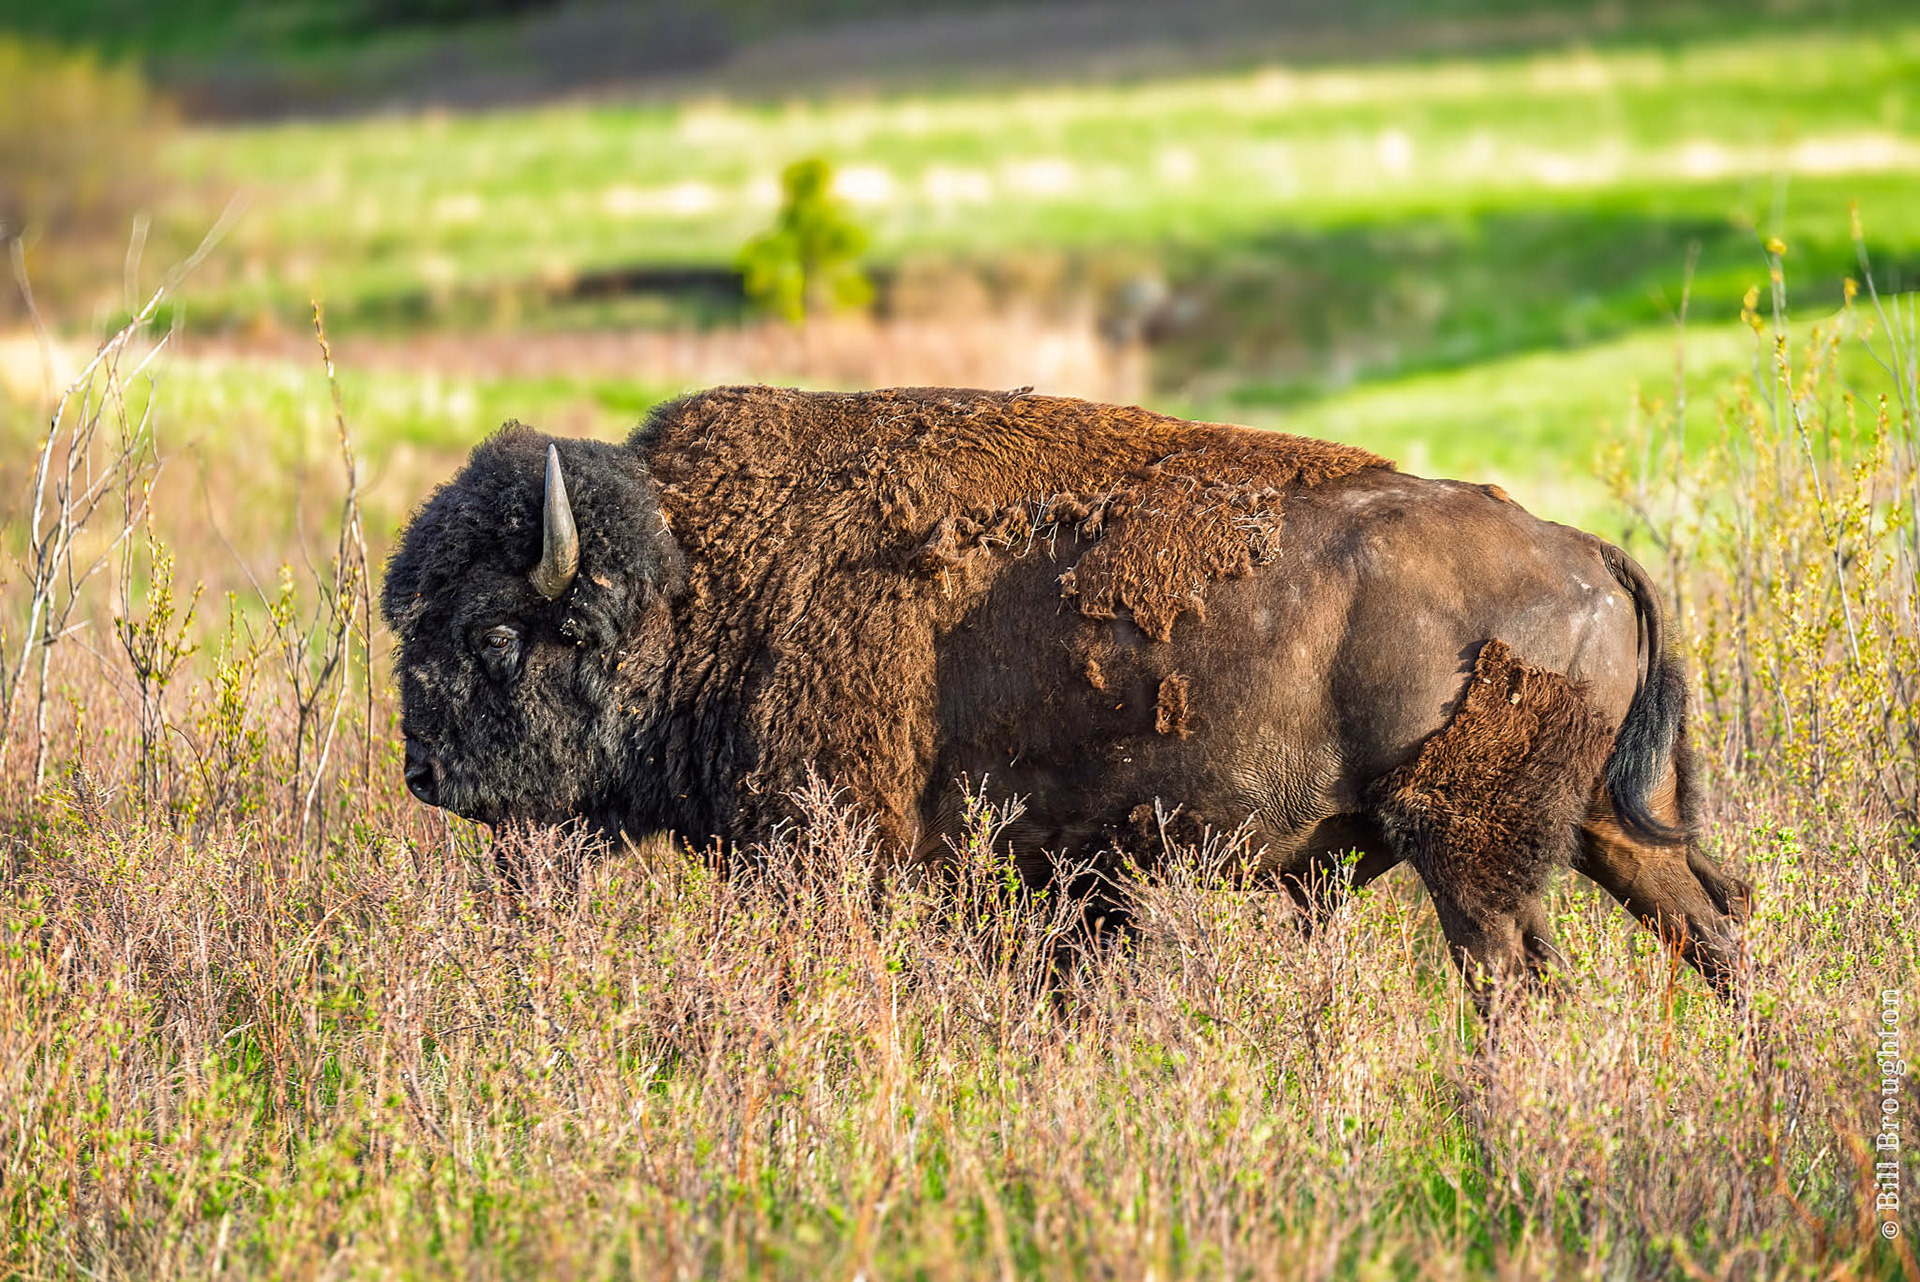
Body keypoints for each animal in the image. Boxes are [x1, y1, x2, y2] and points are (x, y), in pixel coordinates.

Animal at [382, 385, 1750, 1001]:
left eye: (499, 631)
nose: (424, 772)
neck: (703, 577)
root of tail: (1589, 554)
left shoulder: (838, 856)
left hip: (1472, 849)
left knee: (1516, 970)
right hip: (1602, 825)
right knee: (1710, 921)